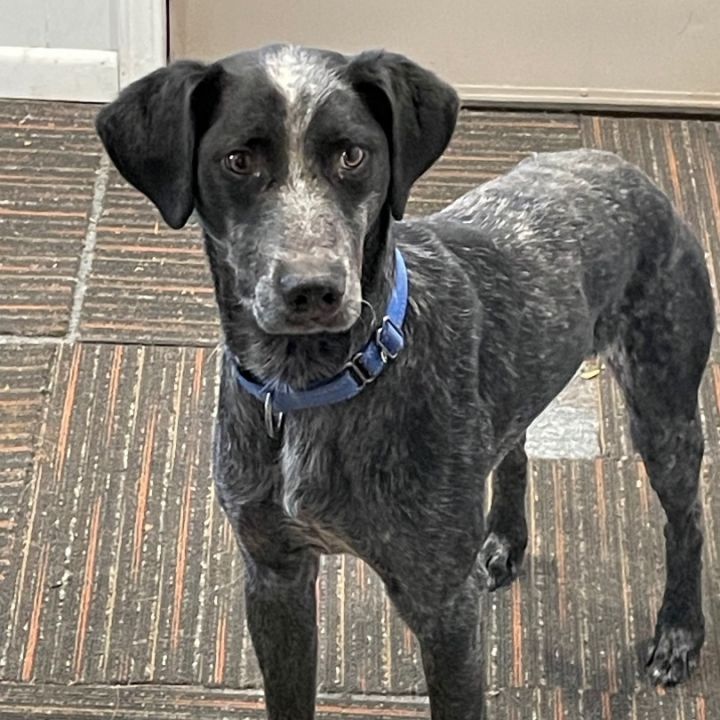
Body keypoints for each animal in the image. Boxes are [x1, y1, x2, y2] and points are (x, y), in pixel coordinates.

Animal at [95, 45, 716, 720]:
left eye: (352, 154)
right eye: (238, 160)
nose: (313, 289)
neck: (313, 384)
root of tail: (626, 170)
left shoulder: (443, 611)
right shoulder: (275, 580)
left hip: (663, 412)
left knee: (686, 520)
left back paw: (680, 631)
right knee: (515, 449)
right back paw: (505, 539)